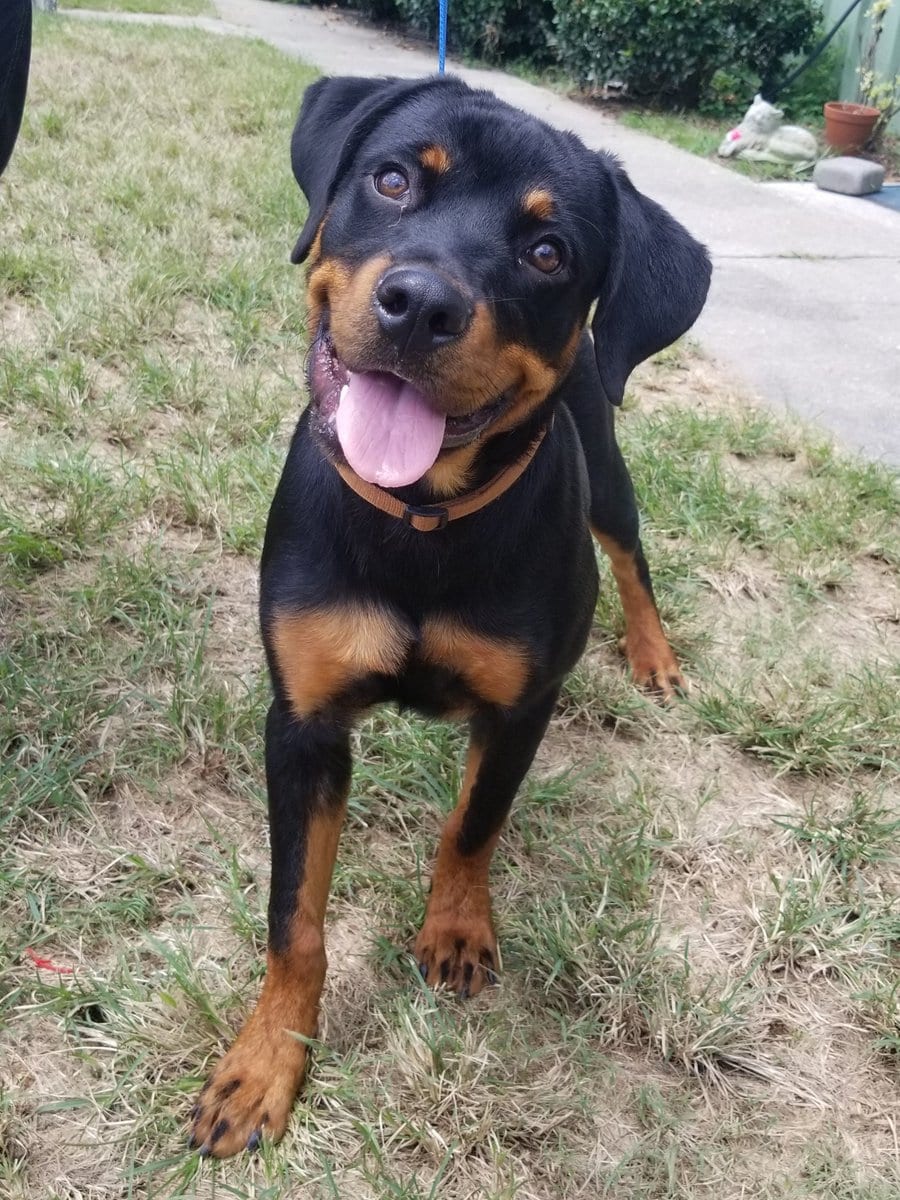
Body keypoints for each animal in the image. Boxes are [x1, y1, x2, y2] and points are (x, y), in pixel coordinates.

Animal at [190, 72, 710, 1152]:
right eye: (392, 179)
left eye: (549, 251)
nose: (422, 302)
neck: (422, 520)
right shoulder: (301, 723)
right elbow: (295, 918)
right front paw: (264, 1066)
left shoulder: (522, 707)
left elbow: (474, 823)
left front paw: (457, 929)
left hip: (609, 478)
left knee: (632, 556)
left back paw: (654, 655)